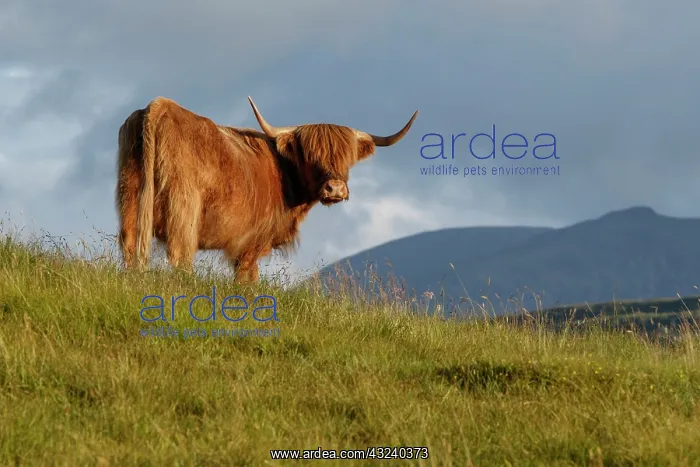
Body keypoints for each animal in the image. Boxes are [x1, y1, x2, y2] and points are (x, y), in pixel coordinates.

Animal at [115, 96, 418, 283]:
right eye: (311, 156)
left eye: (348, 158)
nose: (335, 189)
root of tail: (162, 105)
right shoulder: (251, 243)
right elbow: (247, 279)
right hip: (183, 208)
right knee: (180, 255)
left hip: (130, 195)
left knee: (129, 243)